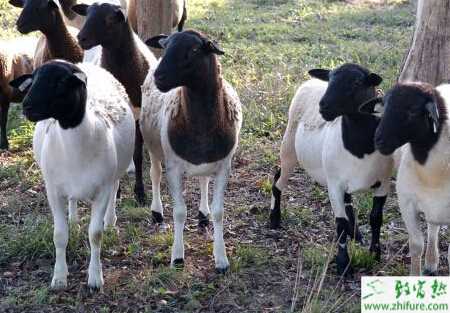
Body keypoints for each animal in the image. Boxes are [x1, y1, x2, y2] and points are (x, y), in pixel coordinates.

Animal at [9, 59, 134, 288]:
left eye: (60, 82)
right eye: (33, 79)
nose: (26, 106)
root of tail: (86, 62)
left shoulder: (102, 189)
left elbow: (95, 235)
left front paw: (95, 278)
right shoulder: (53, 191)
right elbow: (59, 235)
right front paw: (59, 277)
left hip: (116, 169)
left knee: (115, 187)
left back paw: (110, 220)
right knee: (73, 200)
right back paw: (74, 220)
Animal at [73, 3, 157, 205]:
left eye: (110, 19)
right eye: (87, 14)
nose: (81, 38)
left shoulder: (138, 116)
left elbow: (137, 155)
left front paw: (140, 193)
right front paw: (116, 192)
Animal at [142, 30, 243, 272]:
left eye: (195, 50)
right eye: (165, 45)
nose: (159, 77)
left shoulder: (224, 166)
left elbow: (219, 212)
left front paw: (221, 259)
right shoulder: (174, 168)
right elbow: (179, 212)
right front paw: (177, 257)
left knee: (203, 180)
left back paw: (203, 215)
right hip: (153, 147)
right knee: (154, 175)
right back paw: (157, 212)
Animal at [270, 62, 394, 272]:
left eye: (357, 82)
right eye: (330, 79)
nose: (324, 106)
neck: (359, 147)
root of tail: (310, 82)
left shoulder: (383, 182)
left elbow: (376, 218)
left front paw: (375, 253)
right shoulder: (334, 185)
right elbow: (340, 223)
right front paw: (343, 263)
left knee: (348, 201)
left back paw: (356, 234)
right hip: (289, 146)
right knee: (279, 180)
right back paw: (274, 218)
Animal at [362, 81, 450, 274]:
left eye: (412, 111)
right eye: (384, 106)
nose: (378, 141)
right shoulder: (407, 202)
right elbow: (416, 244)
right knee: (433, 226)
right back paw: (431, 262)